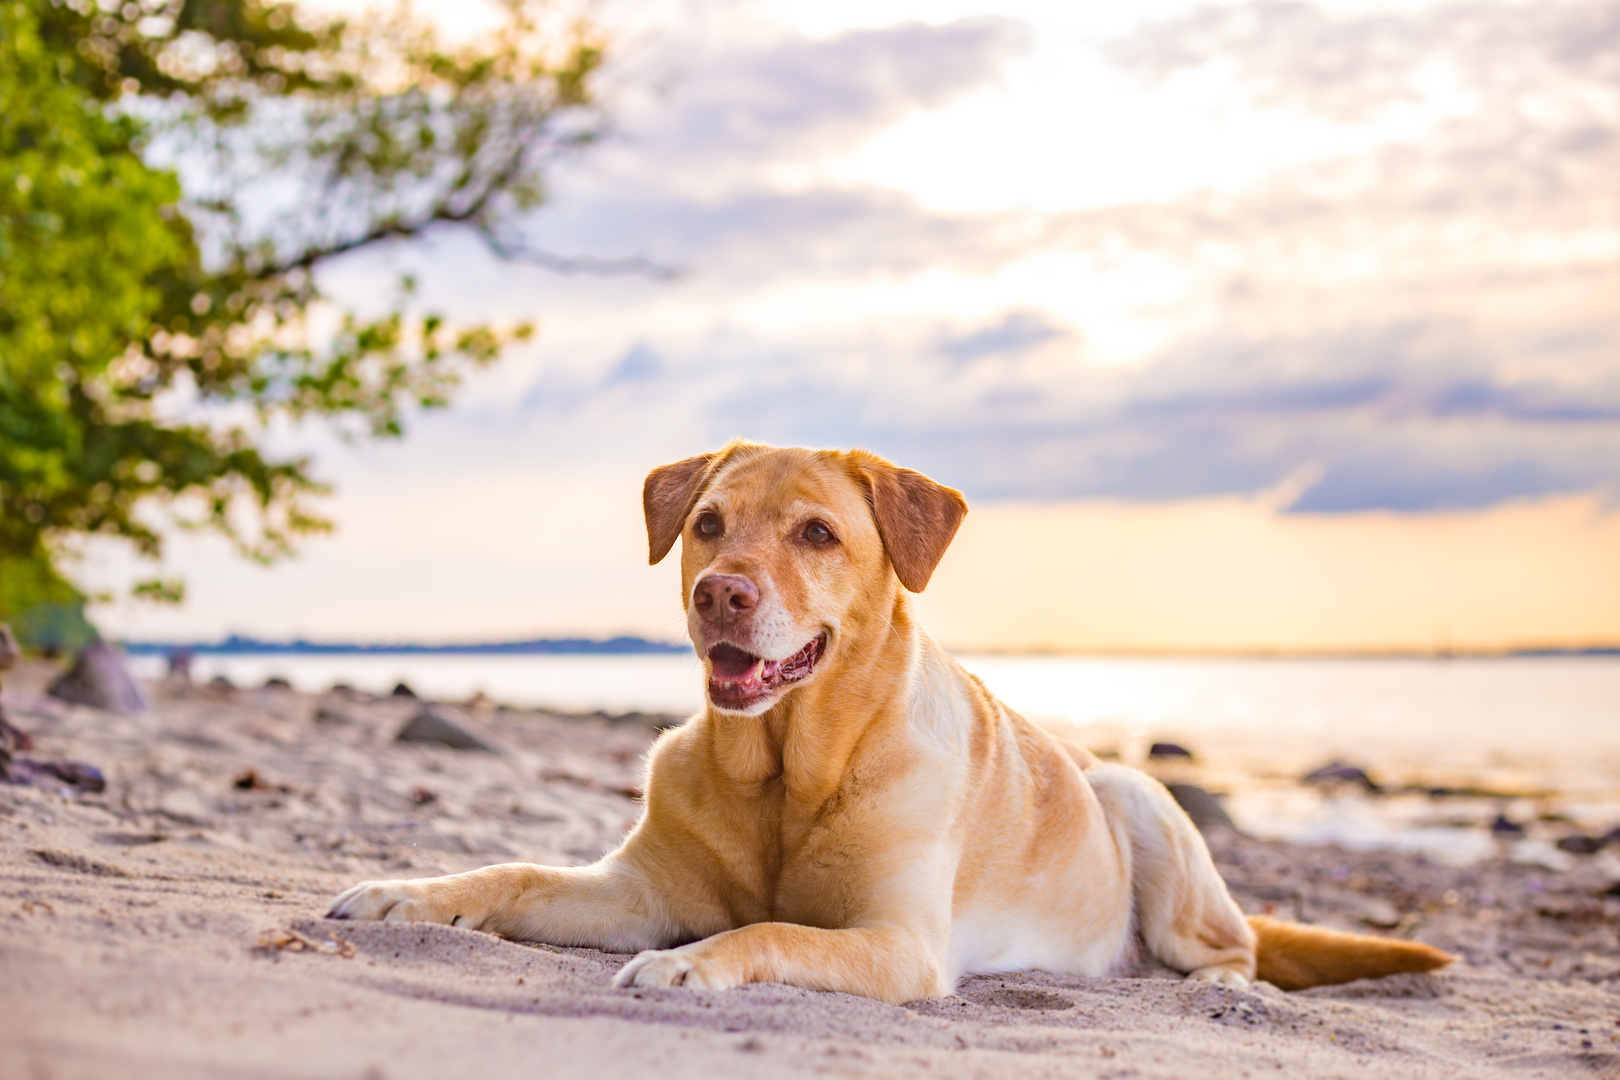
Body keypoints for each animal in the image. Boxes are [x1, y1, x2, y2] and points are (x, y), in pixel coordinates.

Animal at [332, 440, 1458, 1003]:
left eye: (817, 534)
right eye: (707, 525)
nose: (720, 594)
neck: (785, 765)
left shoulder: (900, 941)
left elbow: (772, 926)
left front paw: (699, 962)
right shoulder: (636, 891)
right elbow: (511, 873)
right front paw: (409, 894)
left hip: (1139, 796)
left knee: (1238, 949)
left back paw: (1222, 988)